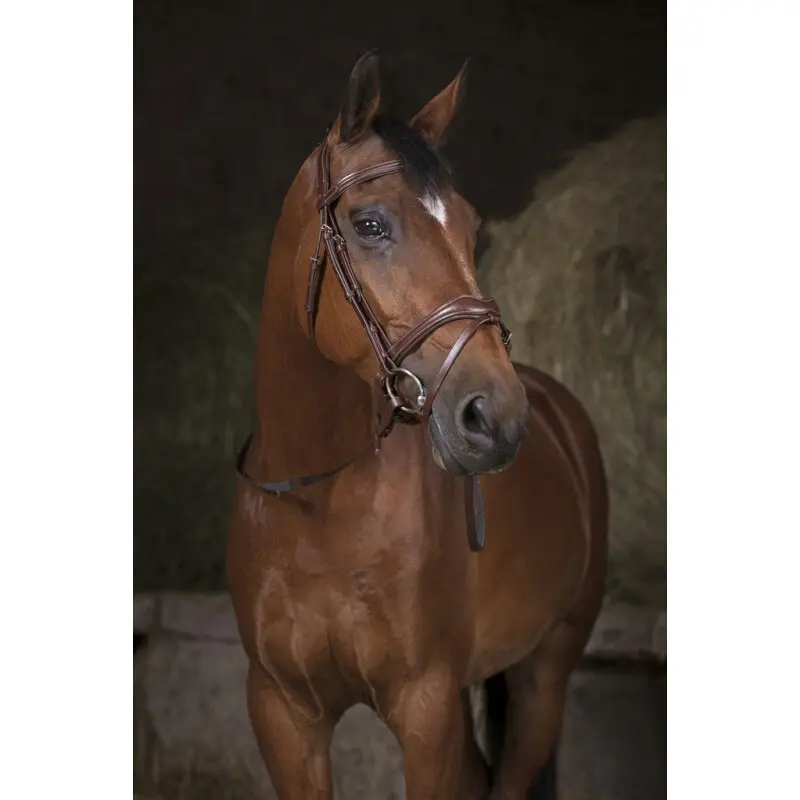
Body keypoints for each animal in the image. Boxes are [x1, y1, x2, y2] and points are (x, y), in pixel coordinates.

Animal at [227, 50, 608, 800]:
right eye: (371, 224)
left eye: (470, 228)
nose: (496, 415)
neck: (319, 499)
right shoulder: (282, 713)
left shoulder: (426, 708)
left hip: (543, 678)